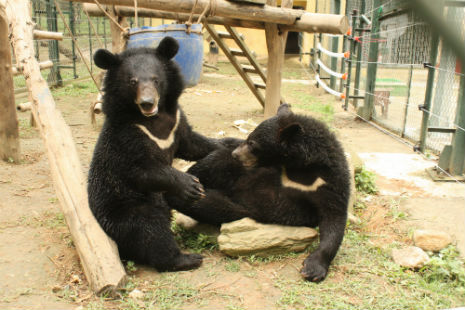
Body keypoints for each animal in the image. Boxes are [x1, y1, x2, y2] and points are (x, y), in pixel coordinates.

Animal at [87, 37, 218, 272]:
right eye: (132, 81)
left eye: (156, 80)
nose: (147, 102)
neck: (152, 120)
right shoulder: (126, 137)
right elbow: (142, 171)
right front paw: (191, 186)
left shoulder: (176, 122)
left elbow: (193, 145)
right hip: (125, 209)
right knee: (149, 229)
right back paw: (186, 259)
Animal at [169, 104, 350, 280]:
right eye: (248, 138)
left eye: (253, 143)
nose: (236, 154)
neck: (297, 168)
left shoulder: (329, 183)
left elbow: (334, 218)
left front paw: (312, 269)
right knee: (215, 163)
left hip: (239, 208)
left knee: (210, 205)